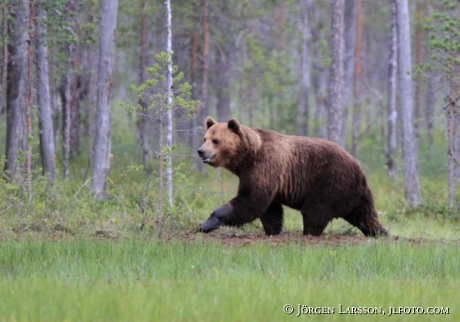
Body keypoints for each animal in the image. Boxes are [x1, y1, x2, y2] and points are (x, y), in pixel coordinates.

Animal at [198, 116, 388, 236]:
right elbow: (270, 209)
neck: (248, 157)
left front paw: (206, 224)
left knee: (315, 211)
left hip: (331, 182)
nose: (200, 151)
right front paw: (272, 231)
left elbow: (251, 200)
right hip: (356, 195)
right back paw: (381, 233)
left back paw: (309, 233)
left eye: (215, 140)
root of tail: (360, 170)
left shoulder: (264, 166)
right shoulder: (267, 176)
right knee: (366, 216)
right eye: (204, 138)